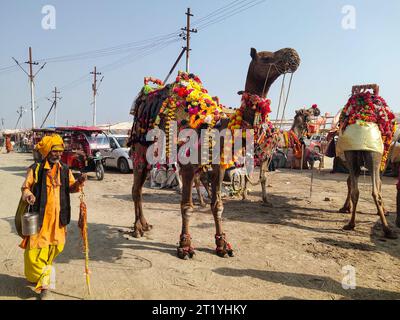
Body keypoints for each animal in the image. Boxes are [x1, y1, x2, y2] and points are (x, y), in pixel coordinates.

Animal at [128, 47, 300, 258]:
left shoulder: (219, 167)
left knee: (140, 187)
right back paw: (137, 228)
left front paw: (222, 245)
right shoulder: (188, 165)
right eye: (266, 57)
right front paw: (185, 246)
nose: (293, 55)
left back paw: (145, 225)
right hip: (140, 146)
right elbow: (186, 206)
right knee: (136, 188)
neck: (217, 126)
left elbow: (217, 205)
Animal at [336, 84, 398, 239]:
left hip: (352, 155)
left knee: (356, 190)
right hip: (374, 156)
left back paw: (351, 224)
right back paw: (388, 230)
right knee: (376, 192)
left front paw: (345, 208)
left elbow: (350, 183)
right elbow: (379, 183)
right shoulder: (382, 161)